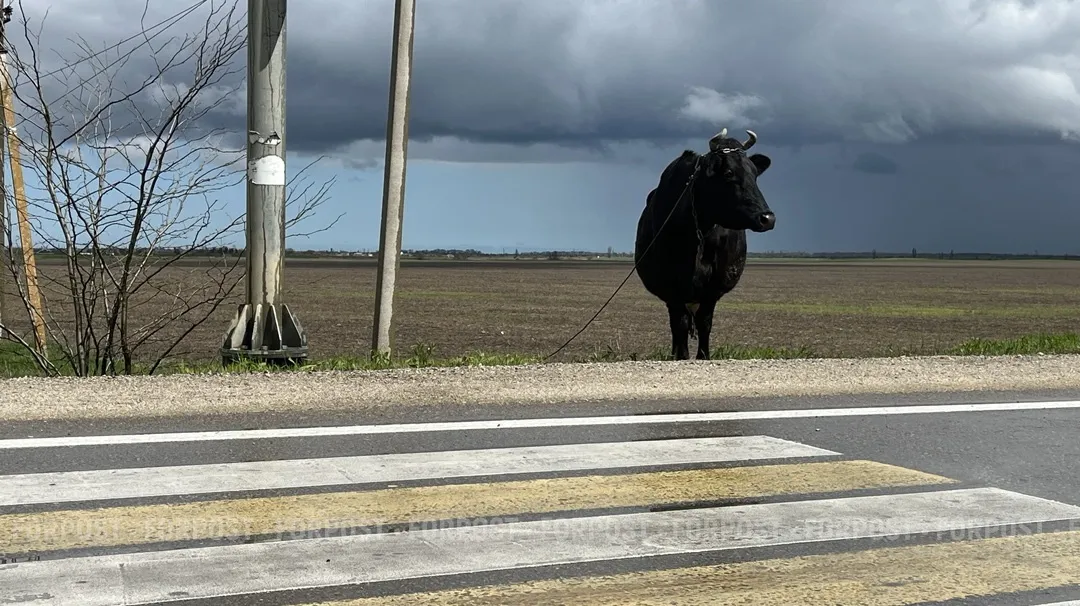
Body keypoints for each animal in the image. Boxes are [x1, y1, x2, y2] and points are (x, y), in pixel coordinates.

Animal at [634, 128, 776, 360]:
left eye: (755, 174)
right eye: (728, 173)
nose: (767, 218)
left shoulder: (714, 285)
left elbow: (705, 323)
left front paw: (703, 356)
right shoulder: (671, 285)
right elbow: (680, 325)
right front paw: (681, 357)